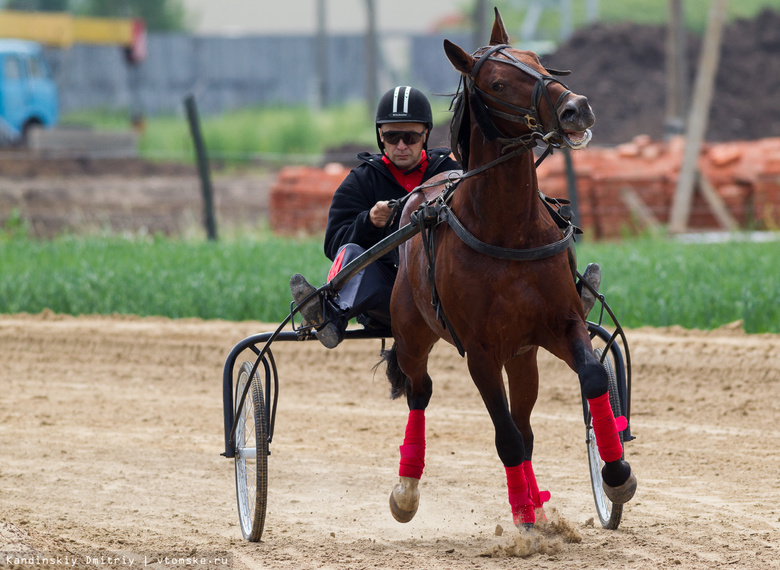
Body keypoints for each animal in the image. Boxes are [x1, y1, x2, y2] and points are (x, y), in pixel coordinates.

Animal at [382, 10, 632, 528]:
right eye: (497, 82)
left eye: (537, 59)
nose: (577, 107)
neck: (509, 231)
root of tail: (418, 195)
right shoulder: (480, 352)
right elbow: (506, 437)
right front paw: (524, 521)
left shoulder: (558, 325)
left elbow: (593, 380)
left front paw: (615, 475)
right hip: (414, 333)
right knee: (420, 391)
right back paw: (407, 489)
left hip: (522, 354)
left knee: (526, 421)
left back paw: (538, 499)